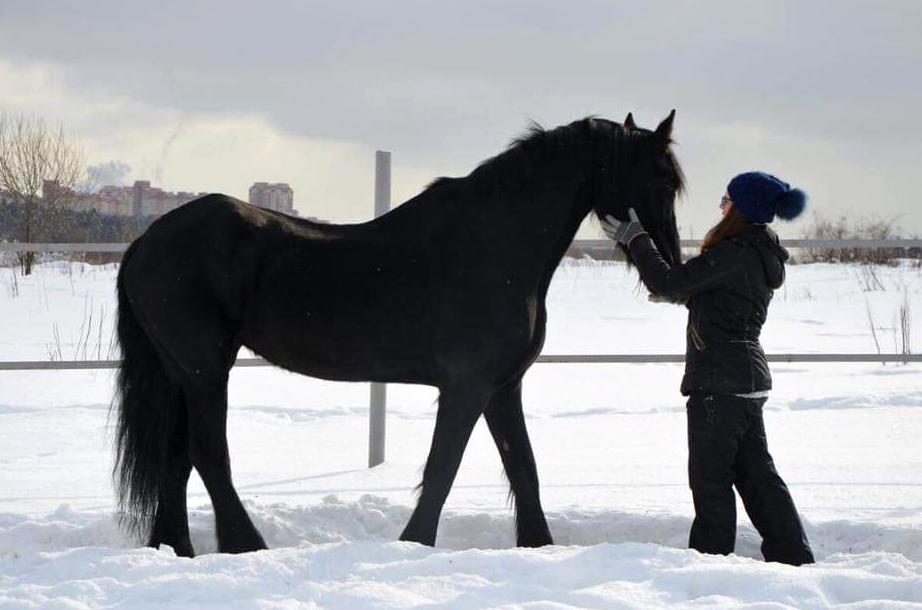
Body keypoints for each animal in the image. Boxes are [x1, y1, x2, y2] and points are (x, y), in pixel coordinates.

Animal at [113, 110, 684, 556]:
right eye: (659, 178)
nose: (674, 267)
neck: (497, 244)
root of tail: (146, 240)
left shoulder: (504, 388)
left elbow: (524, 468)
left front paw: (538, 544)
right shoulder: (467, 387)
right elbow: (443, 469)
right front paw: (415, 542)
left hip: (180, 373)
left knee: (175, 457)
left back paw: (175, 548)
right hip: (206, 370)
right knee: (209, 455)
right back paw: (246, 546)